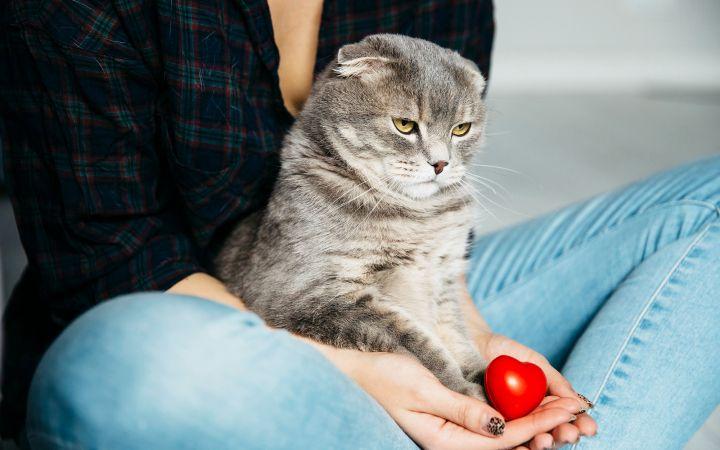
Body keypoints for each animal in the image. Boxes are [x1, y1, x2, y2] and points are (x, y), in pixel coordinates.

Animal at [215, 34, 490, 400]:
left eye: (461, 129)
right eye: (405, 125)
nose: (441, 164)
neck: (419, 217)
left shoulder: (443, 280)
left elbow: (456, 336)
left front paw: (478, 374)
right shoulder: (309, 295)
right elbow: (413, 339)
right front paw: (462, 388)